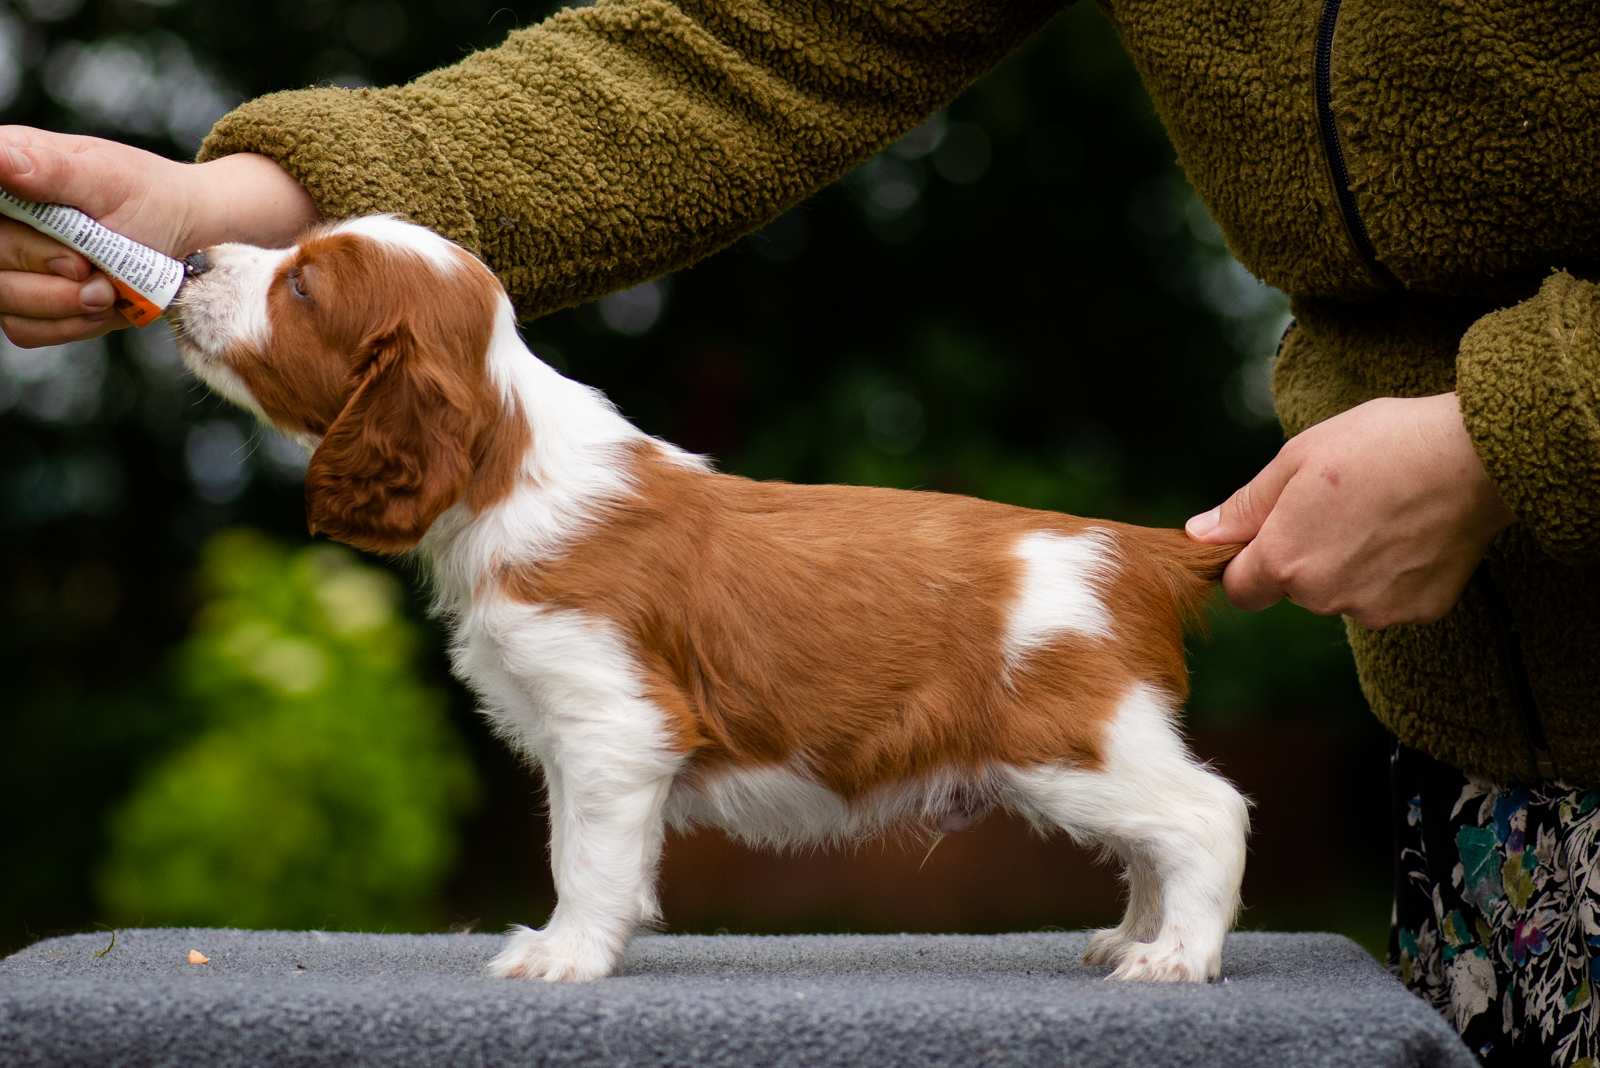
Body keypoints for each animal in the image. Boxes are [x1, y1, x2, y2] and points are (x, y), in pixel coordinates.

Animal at [168, 214, 1254, 984]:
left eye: (302, 283)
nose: (190, 258)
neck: (511, 467)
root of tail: (1137, 546)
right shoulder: (578, 738)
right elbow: (579, 847)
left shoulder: (613, 722)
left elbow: (587, 859)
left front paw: (563, 956)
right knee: (1152, 843)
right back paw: (1131, 936)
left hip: (1070, 738)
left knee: (1205, 815)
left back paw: (1175, 956)